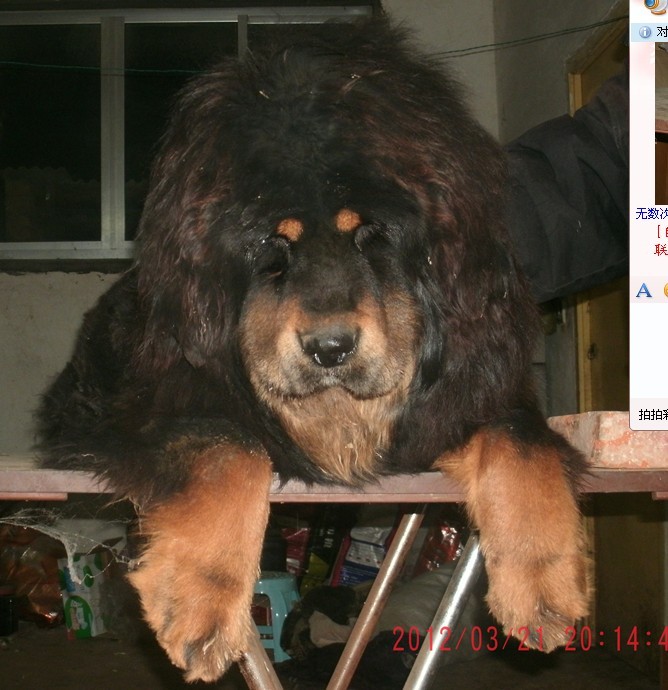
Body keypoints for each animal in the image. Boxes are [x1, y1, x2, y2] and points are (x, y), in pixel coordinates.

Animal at [37, 17, 589, 683]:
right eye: (272, 244)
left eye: (371, 236)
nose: (330, 347)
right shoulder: (149, 413)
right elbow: (228, 445)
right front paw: (199, 601)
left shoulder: (467, 403)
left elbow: (524, 443)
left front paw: (543, 585)